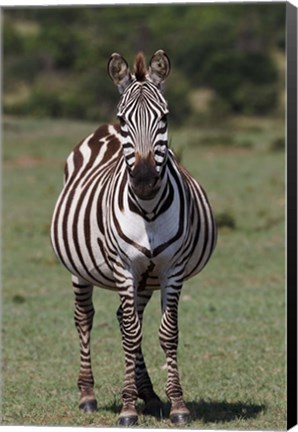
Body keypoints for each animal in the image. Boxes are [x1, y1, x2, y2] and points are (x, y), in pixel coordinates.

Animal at [51, 50, 217, 426]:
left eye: (165, 118)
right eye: (124, 118)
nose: (143, 180)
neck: (149, 210)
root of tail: (102, 130)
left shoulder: (172, 268)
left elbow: (166, 333)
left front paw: (177, 404)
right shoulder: (124, 266)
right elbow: (129, 334)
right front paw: (127, 409)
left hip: (146, 277)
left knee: (127, 318)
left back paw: (151, 396)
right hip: (81, 269)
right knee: (85, 318)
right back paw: (88, 395)